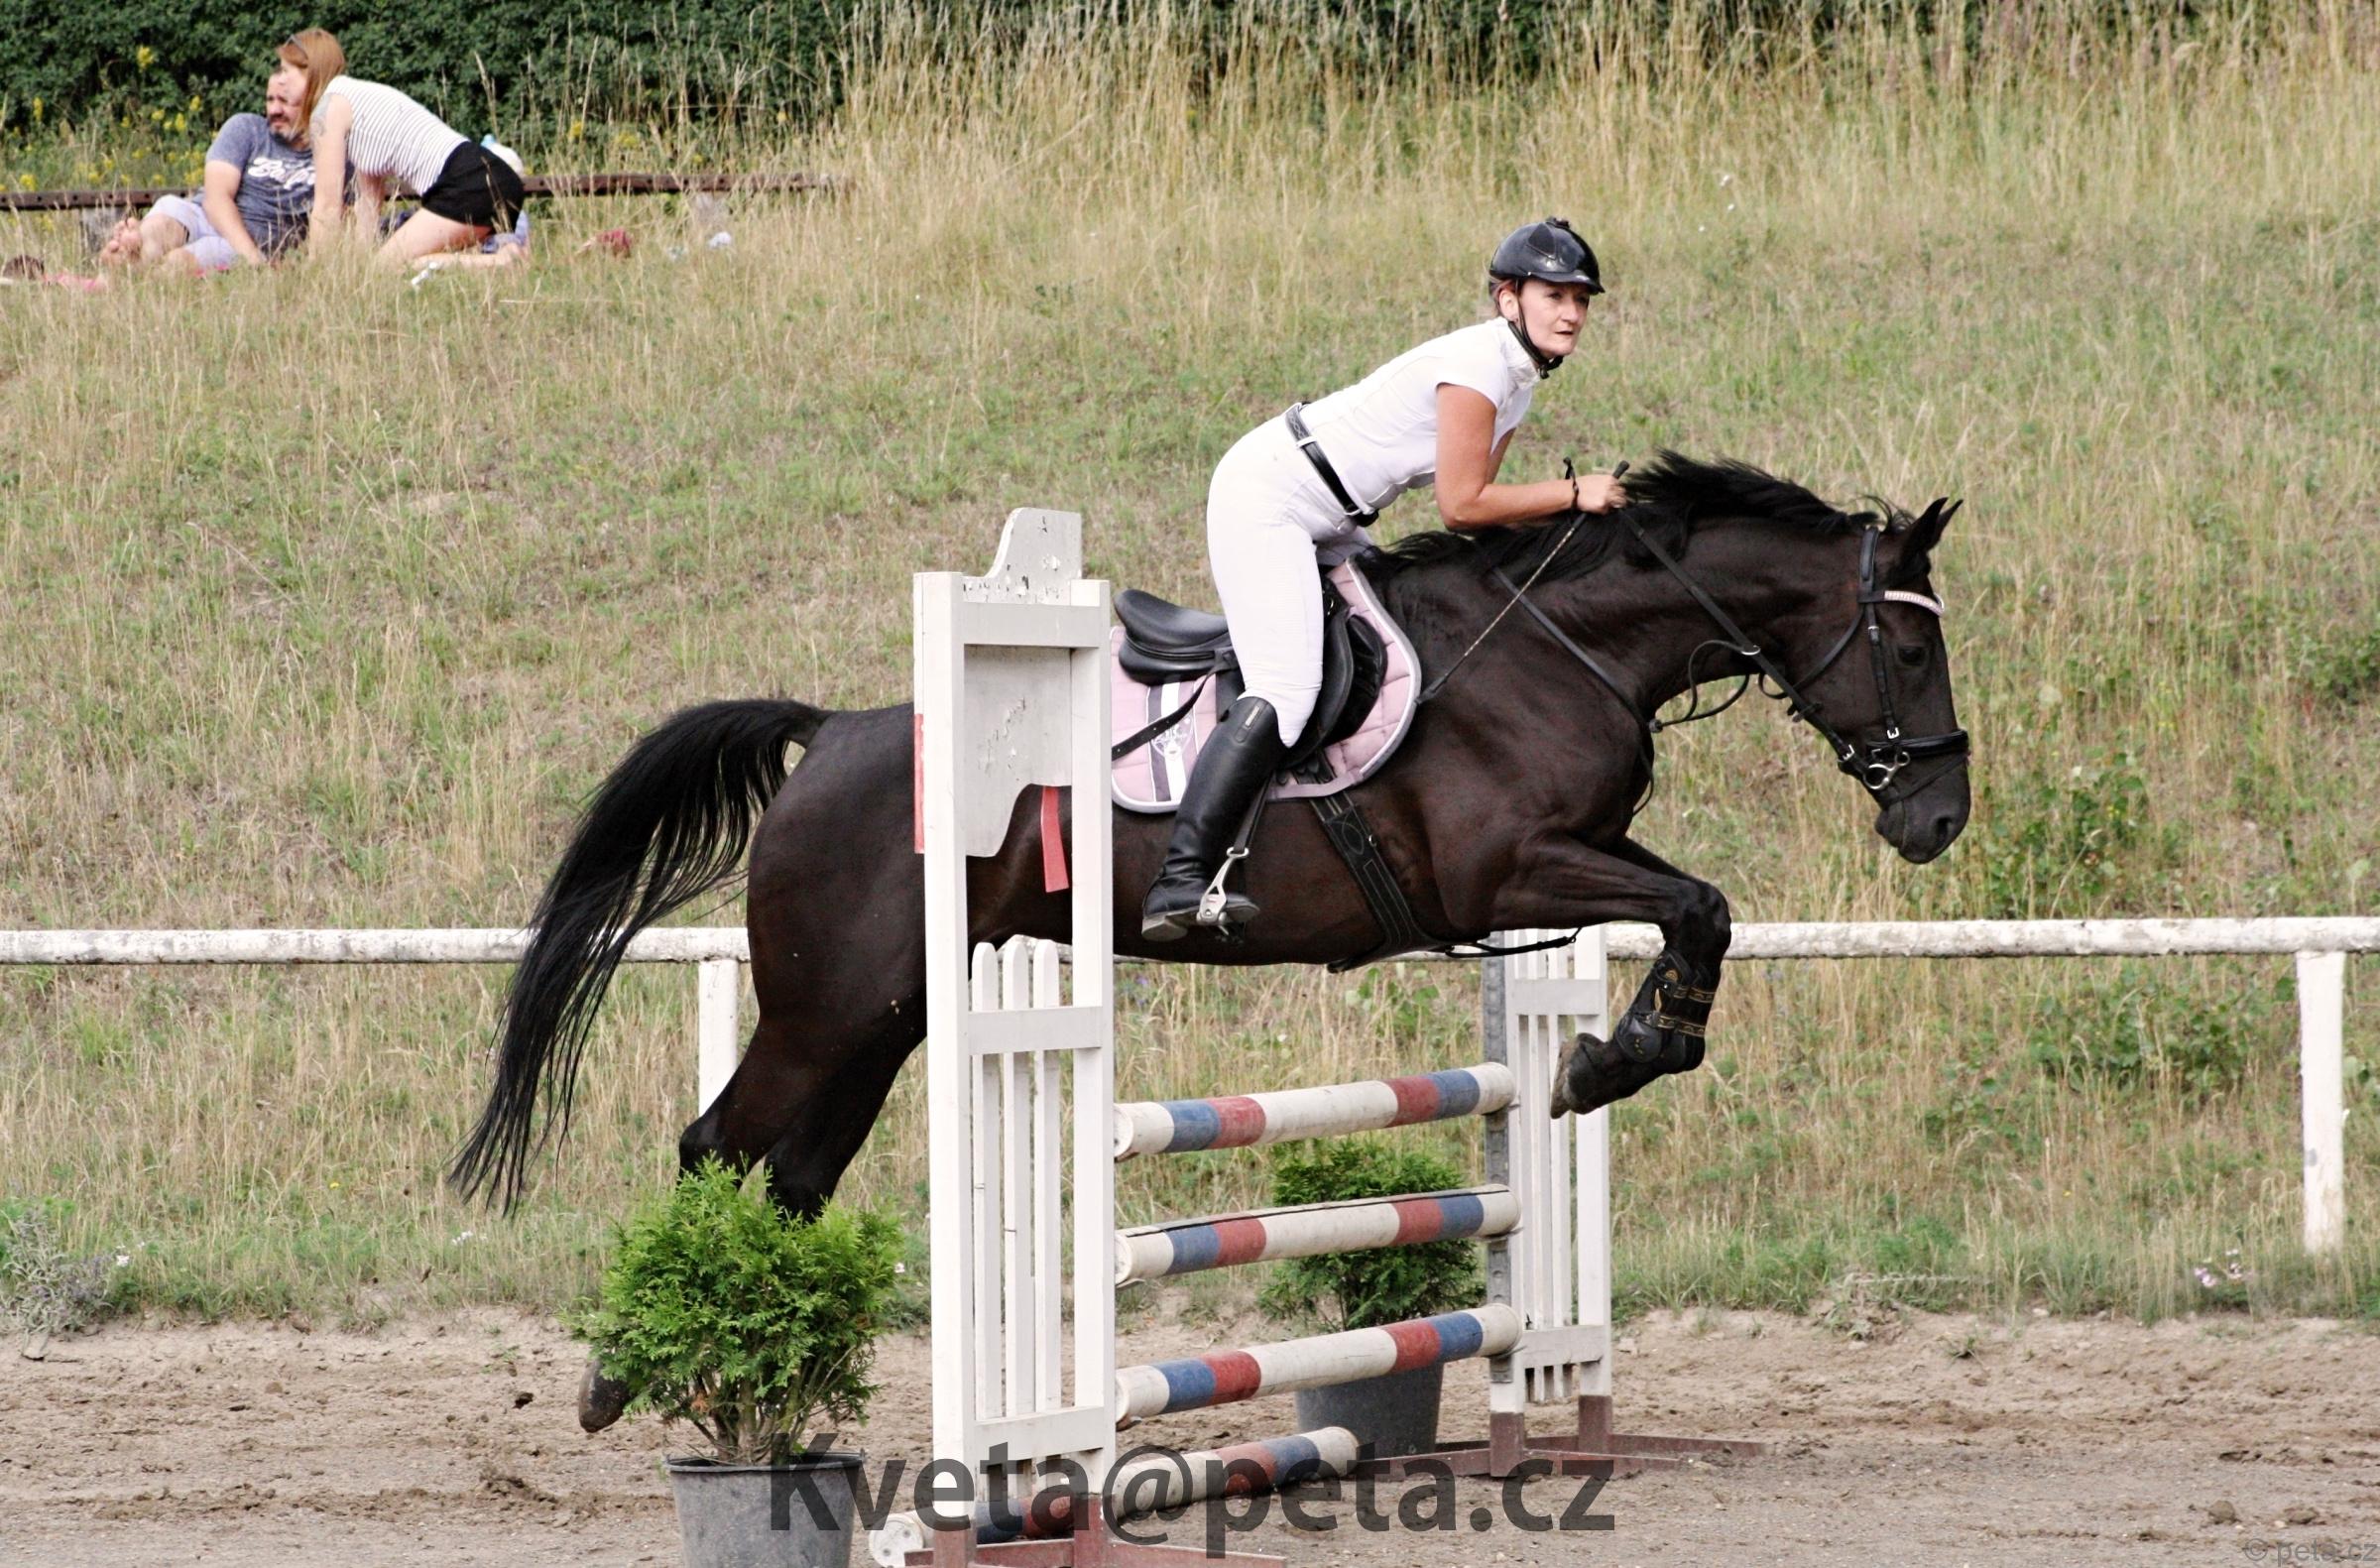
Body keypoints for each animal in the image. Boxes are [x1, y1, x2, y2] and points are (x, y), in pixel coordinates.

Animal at [452, 453, 1968, 1230]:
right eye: (1906, 645)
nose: (1938, 816)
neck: (1557, 645)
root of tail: (827, 737)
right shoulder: (1501, 869)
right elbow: (1702, 903)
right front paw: (1615, 1058)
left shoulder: (1575, 858)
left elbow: (1695, 908)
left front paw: (1628, 1045)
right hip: (826, 1007)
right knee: (718, 1146)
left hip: (884, 1016)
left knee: (794, 1174)